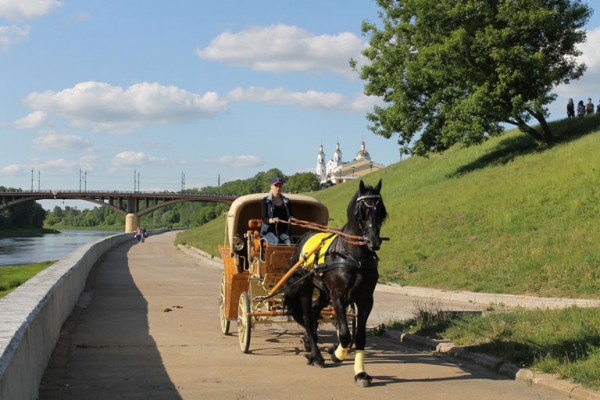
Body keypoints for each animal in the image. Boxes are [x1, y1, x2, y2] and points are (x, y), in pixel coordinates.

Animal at [282, 180, 386, 386]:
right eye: (362, 211)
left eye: (380, 211)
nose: (373, 242)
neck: (354, 258)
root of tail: (304, 236)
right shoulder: (338, 297)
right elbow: (345, 335)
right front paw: (337, 354)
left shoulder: (365, 301)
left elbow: (359, 337)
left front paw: (360, 373)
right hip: (306, 287)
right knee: (307, 317)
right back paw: (316, 355)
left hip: (324, 292)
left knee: (314, 313)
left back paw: (311, 343)